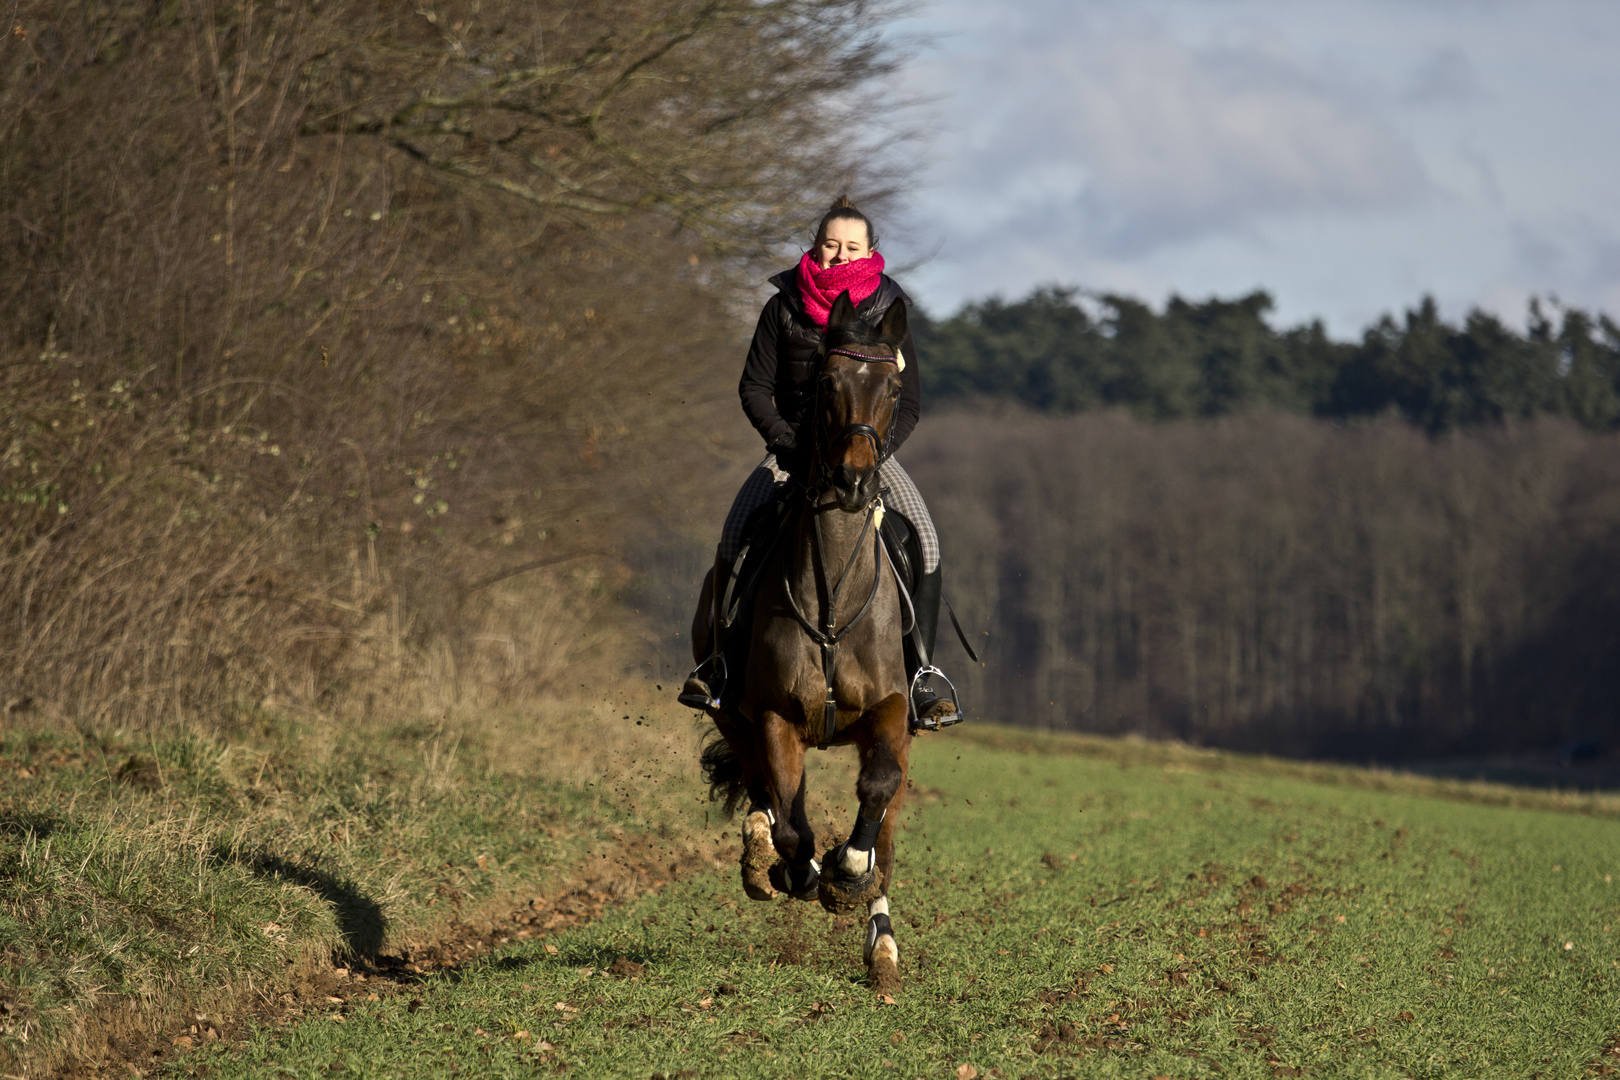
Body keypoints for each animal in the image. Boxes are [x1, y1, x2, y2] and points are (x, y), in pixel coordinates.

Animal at [696, 289, 920, 997]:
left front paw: (847, 872)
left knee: (887, 834)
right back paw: (759, 856)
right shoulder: (772, 715)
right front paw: (800, 871)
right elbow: (794, 827)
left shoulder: (891, 712)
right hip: (732, 712)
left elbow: (876, 793)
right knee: (762, 793)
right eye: (826, 384)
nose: (853, 482)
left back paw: (882, 950)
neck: (832, 599)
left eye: (893, 386)